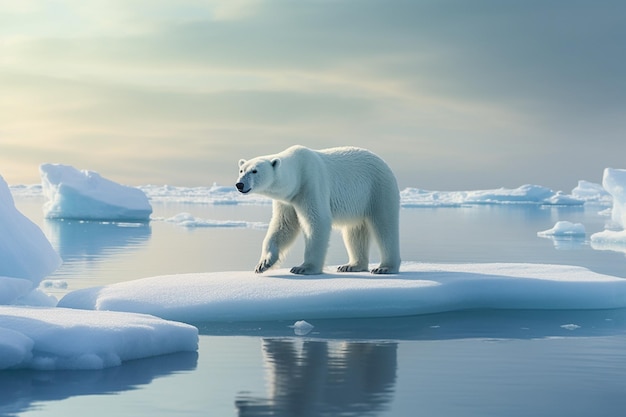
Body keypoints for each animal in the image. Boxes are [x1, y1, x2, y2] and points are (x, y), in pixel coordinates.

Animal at [234, 145, 400, 274]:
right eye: (241, 170)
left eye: (254, 171)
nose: (239, 184)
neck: (298, 171)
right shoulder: (287, 200)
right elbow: (283, 226)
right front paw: (263, 264)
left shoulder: (311, 184)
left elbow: (317, 221)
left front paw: (304, 268)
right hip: (360, 202)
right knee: (354, 231)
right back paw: (351, 265)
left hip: (378, 189)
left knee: (385, 226)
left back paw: (385, 267)